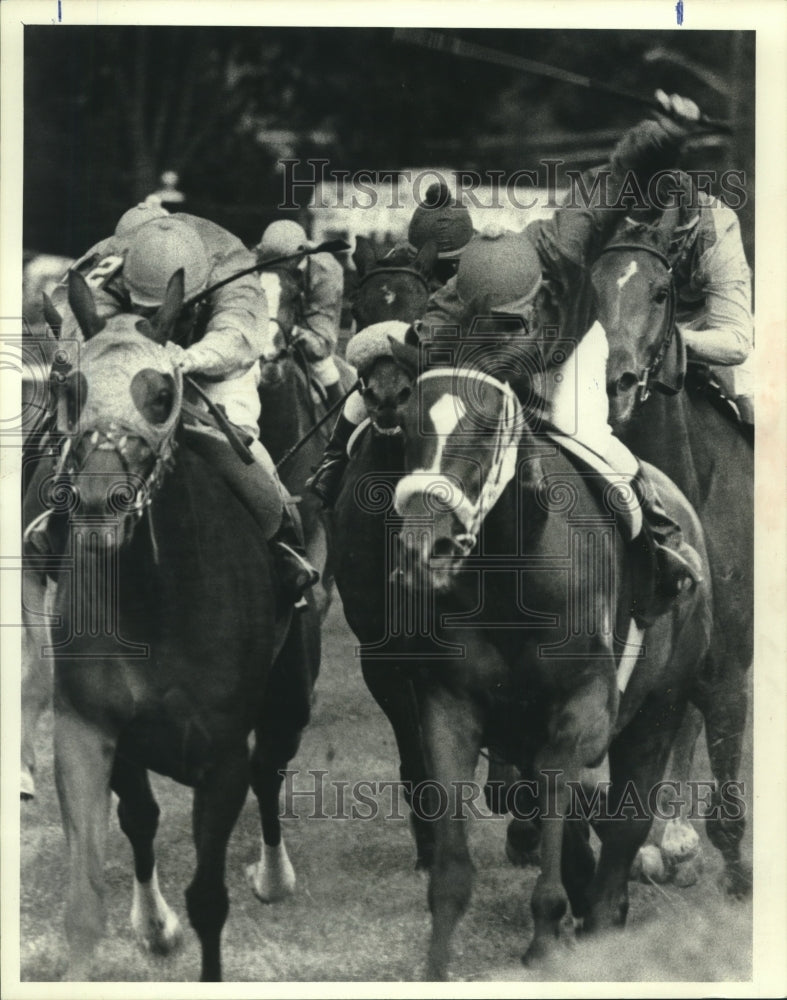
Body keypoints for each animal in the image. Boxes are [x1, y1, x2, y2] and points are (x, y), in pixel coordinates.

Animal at [30, 270, 320, 980]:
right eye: (71, 388)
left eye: (161, 394)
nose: (98, 500)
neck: (155, 601)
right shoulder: (91, 728)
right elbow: (118, 844)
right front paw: (152, 926)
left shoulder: (220, 753)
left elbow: (210, 896)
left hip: (290, 696)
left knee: (271, 768)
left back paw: (274, 875)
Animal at [390, 354, 716, 976]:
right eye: (402, 426)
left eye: (486, 431)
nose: (426, 548)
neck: (512, 580)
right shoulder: (451, 708)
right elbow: (457, 852)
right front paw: (437, 964)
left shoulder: (581, 712)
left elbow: (563, 792)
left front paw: (545, 938)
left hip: (658, 709)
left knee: (626, 821)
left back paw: (602, 914)